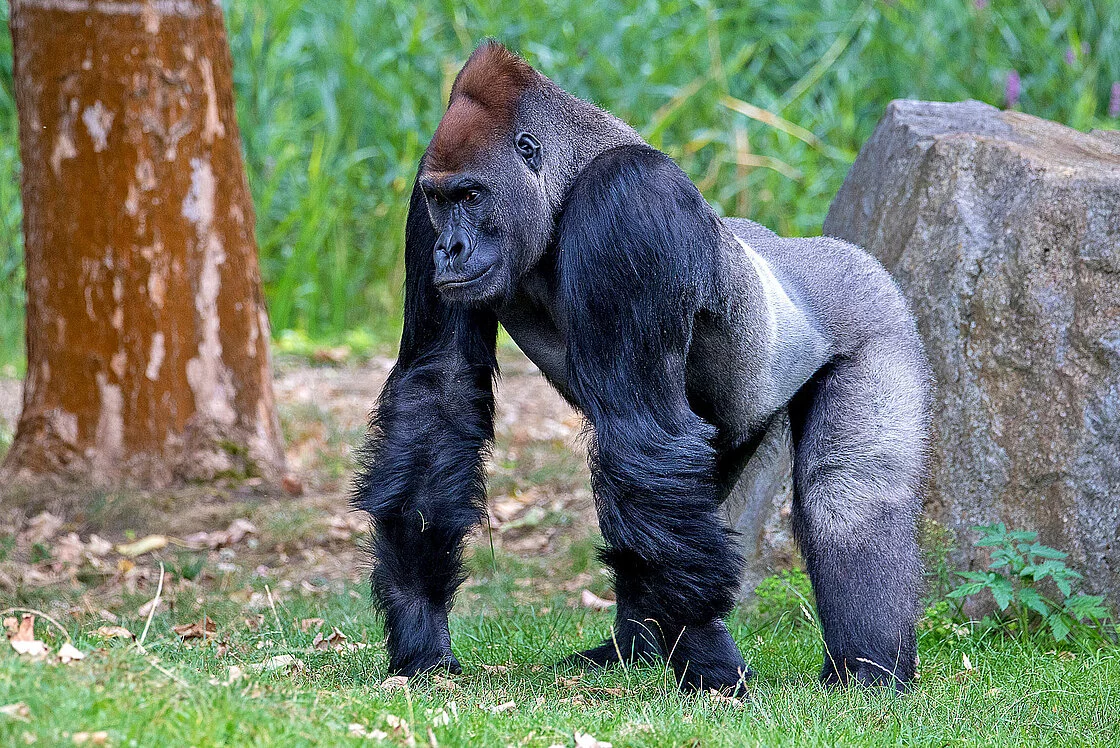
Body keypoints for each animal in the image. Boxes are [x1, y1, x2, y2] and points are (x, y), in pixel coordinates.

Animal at [352, 41, 932, 695]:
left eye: (471, 197)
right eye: (441, 200)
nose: (449, 249)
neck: (569, 179)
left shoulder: (628, 201)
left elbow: (639, 427)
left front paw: (709, 660)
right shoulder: (422, 210)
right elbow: (439, 390)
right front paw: (419, 625)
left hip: (877, 307)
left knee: (849, 495)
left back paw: (869, 672)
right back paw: (636, 649)